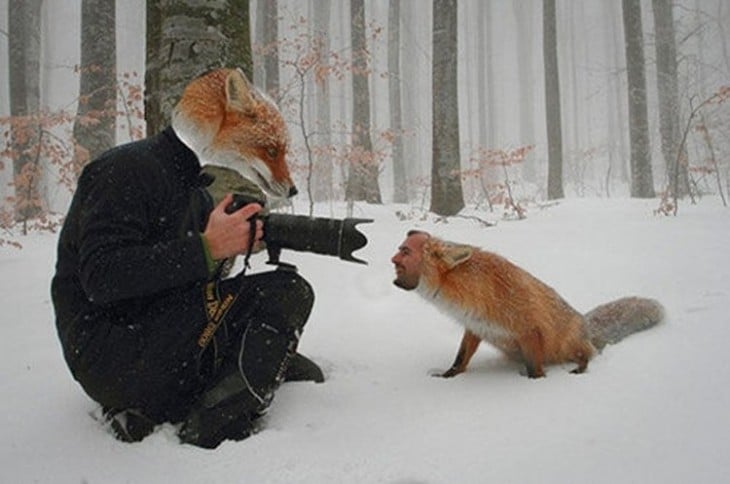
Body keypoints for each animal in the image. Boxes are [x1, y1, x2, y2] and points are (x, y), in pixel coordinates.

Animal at [390, 231, 664, 378]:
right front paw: (448, 377)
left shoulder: (529, 330)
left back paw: (580, 369)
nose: (392, 259)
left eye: (404, 251)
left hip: (569, 344)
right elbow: (460, 359)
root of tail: (585, 323)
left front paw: (533, 388)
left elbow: (535, 369)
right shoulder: (475, 327)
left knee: (589, 354)